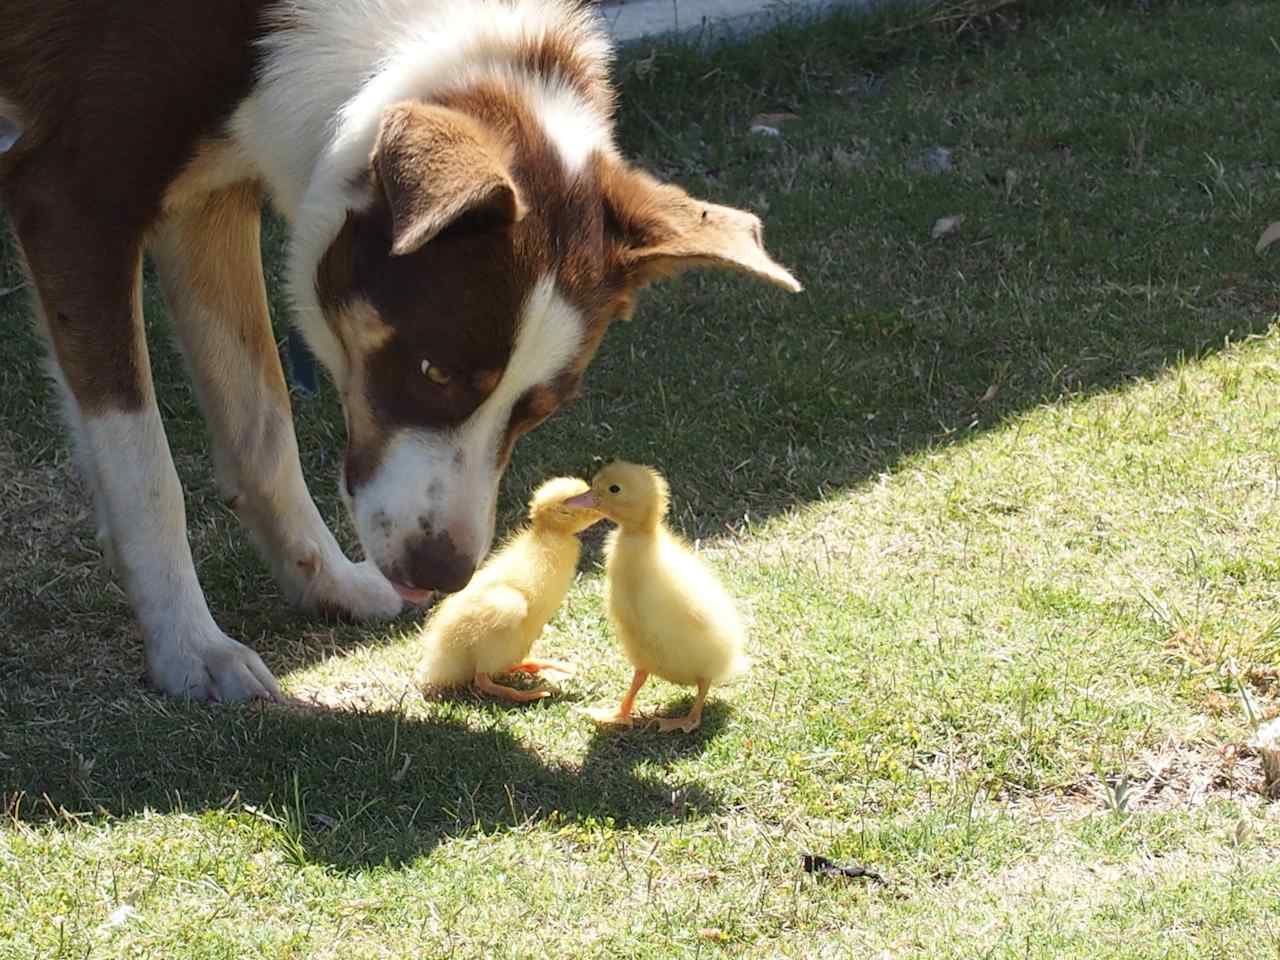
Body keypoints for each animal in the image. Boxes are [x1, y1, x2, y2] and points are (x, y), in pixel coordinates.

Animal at [0, 1, 793, 706]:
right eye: (433, 369)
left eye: (539, 411)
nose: (441, 574)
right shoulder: (72, 197)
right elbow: (146, 473)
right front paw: (190, 647)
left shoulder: (210, 197)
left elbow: (264, 420)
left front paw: (322, 580)